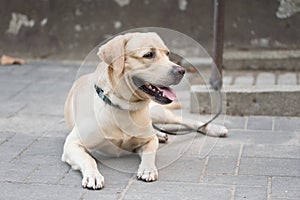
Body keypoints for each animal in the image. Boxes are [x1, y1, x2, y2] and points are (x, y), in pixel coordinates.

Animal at [62, 32, 229, 190]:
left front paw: (148, 169)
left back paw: (215, 128)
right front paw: (93, 176)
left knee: (186, 121)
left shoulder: (148, 140)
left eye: (167, 54)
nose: (181, 70)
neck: (123, 107)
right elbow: (89, 159)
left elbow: (149, 152)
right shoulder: (72, 144)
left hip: (158, 113)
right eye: (149, 55)